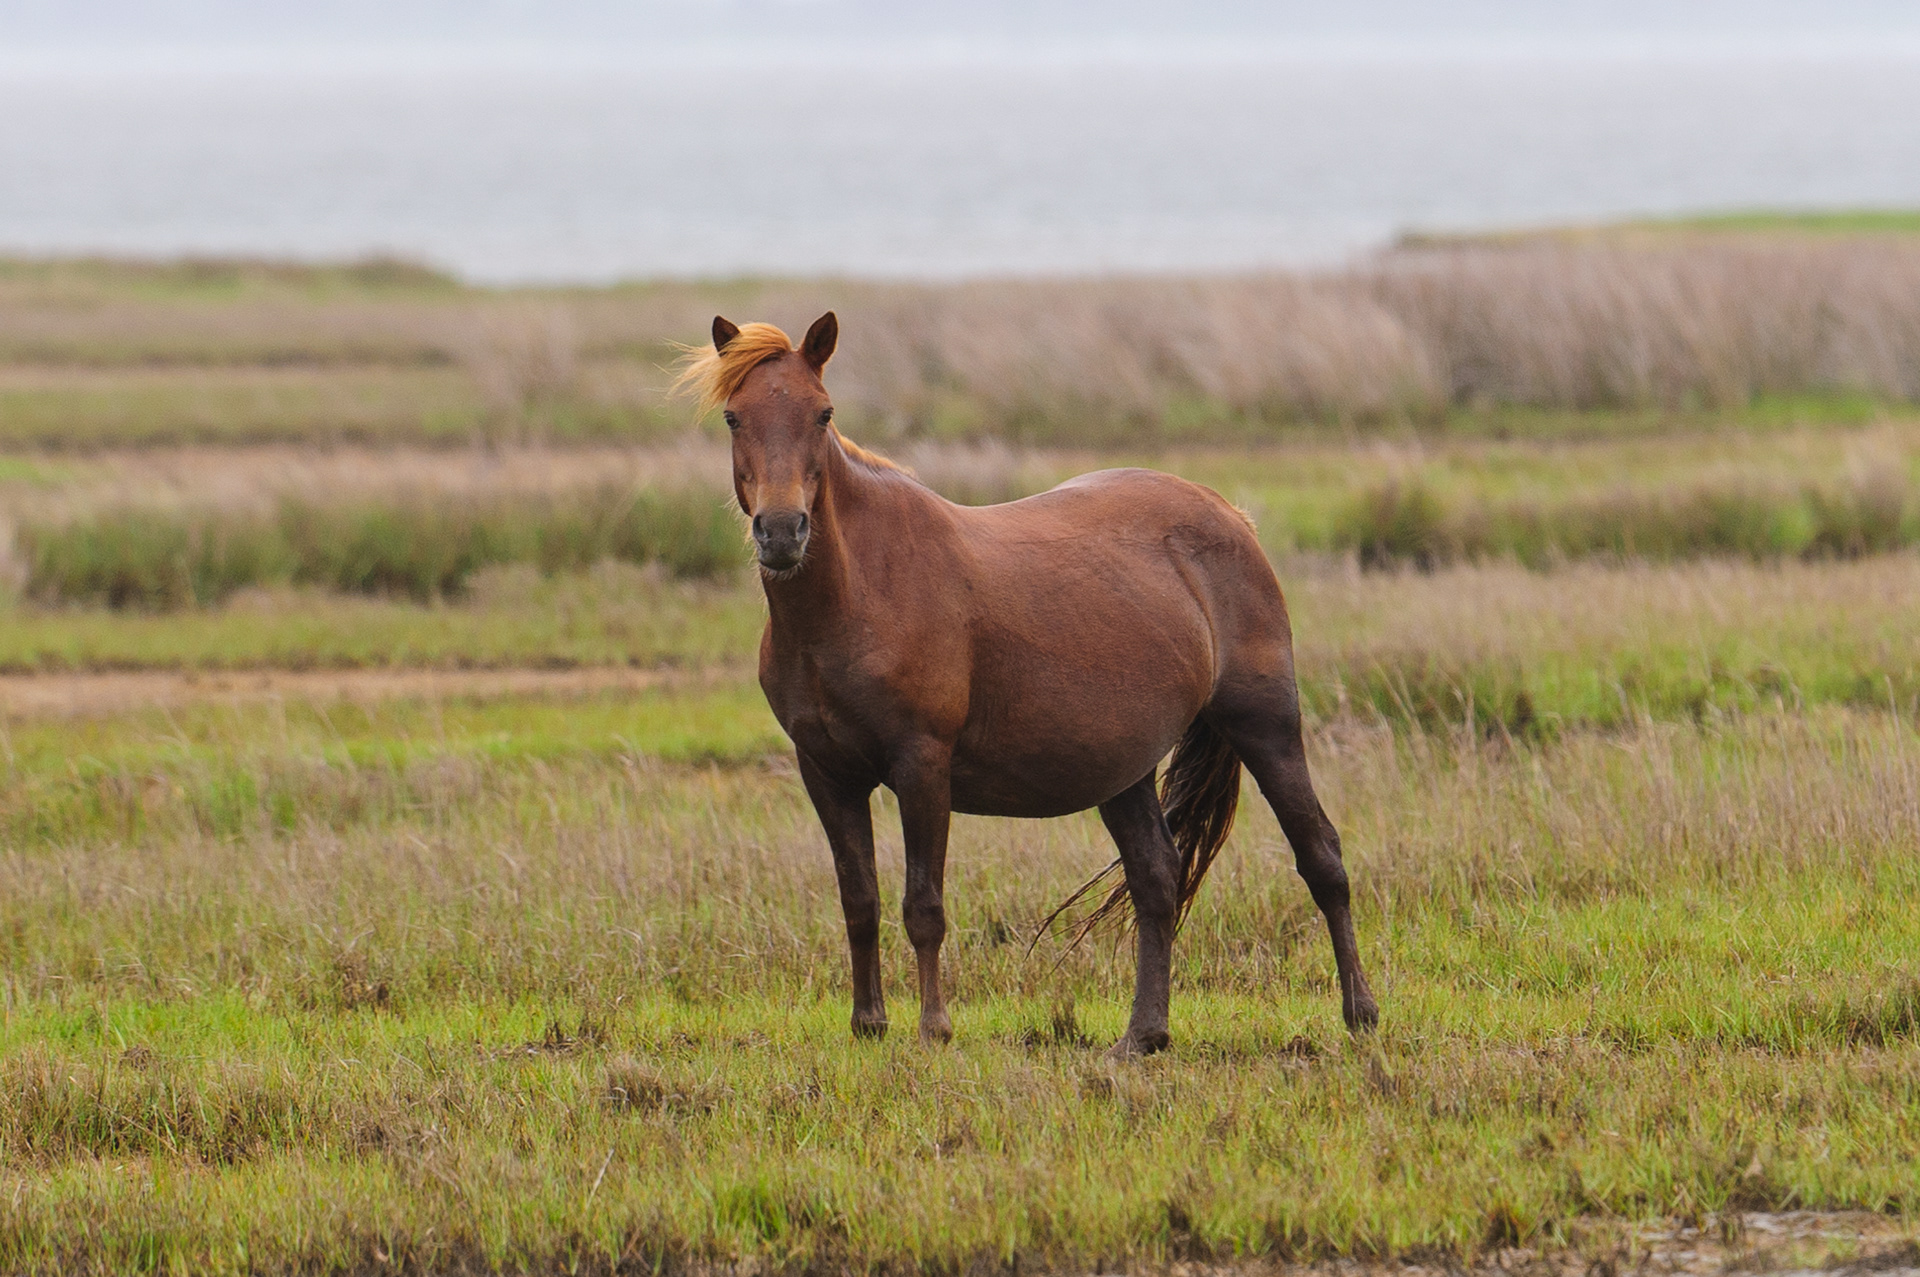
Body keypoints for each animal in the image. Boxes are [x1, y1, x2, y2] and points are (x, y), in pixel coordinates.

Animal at [676, 312, 1377, 1056]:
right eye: (733, 416)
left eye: (823, 412)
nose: (782, 532)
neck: (856, 593)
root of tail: (1230, 516)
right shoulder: (827, 773)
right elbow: (859, 901)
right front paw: (868, 1024)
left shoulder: (922, 766)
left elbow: (922, 905)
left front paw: (933, 1028)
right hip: (1122, 767)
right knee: (1156, 878)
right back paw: (1142, 1035)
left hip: (1266, 726)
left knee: (1322, 857)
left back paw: (1360, 1012)